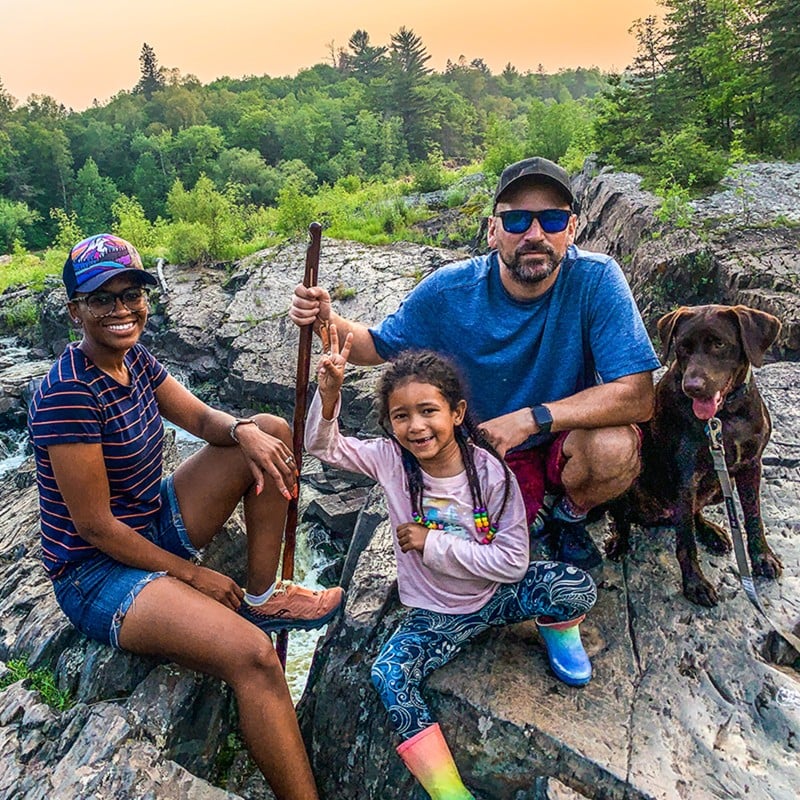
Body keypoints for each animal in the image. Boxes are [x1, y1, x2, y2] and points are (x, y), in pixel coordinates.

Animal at [608, 306, 780, 608]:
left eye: (719, 344)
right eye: (682, 347)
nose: (693, 387)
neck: (723, 417)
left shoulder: (751, 466)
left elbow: (753, 517)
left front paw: (762, 557)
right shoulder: (685, 477)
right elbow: (686, 542)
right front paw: (695, 584)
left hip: (721, 486)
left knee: (694, 513)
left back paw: (712, 531)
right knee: (625, 518)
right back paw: (620, 541)